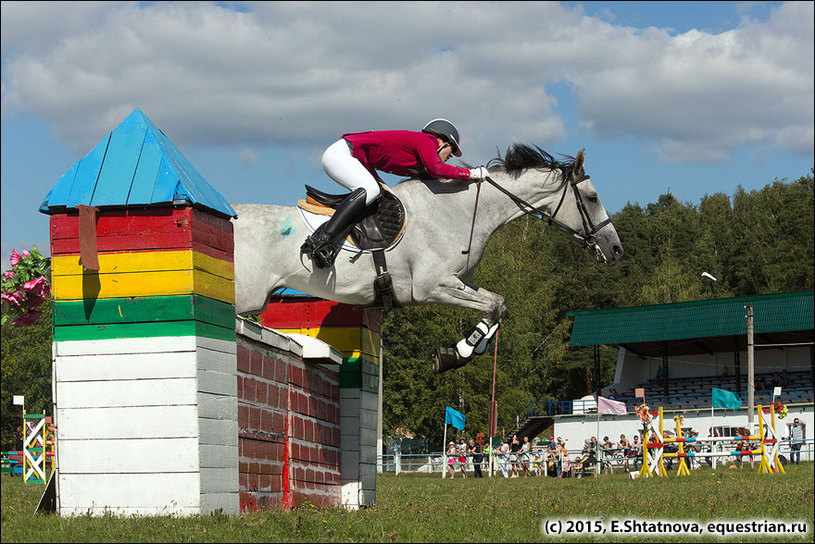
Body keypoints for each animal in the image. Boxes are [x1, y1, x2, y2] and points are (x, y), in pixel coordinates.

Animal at [231, 143, 624, 374]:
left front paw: (458, 353)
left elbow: (498, 305)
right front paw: (458, 353)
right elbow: (494, 305)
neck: (459, 209)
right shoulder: (431, 287)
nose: (616, 249)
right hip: (245, 298)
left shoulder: (458, 281)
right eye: (592, 198)